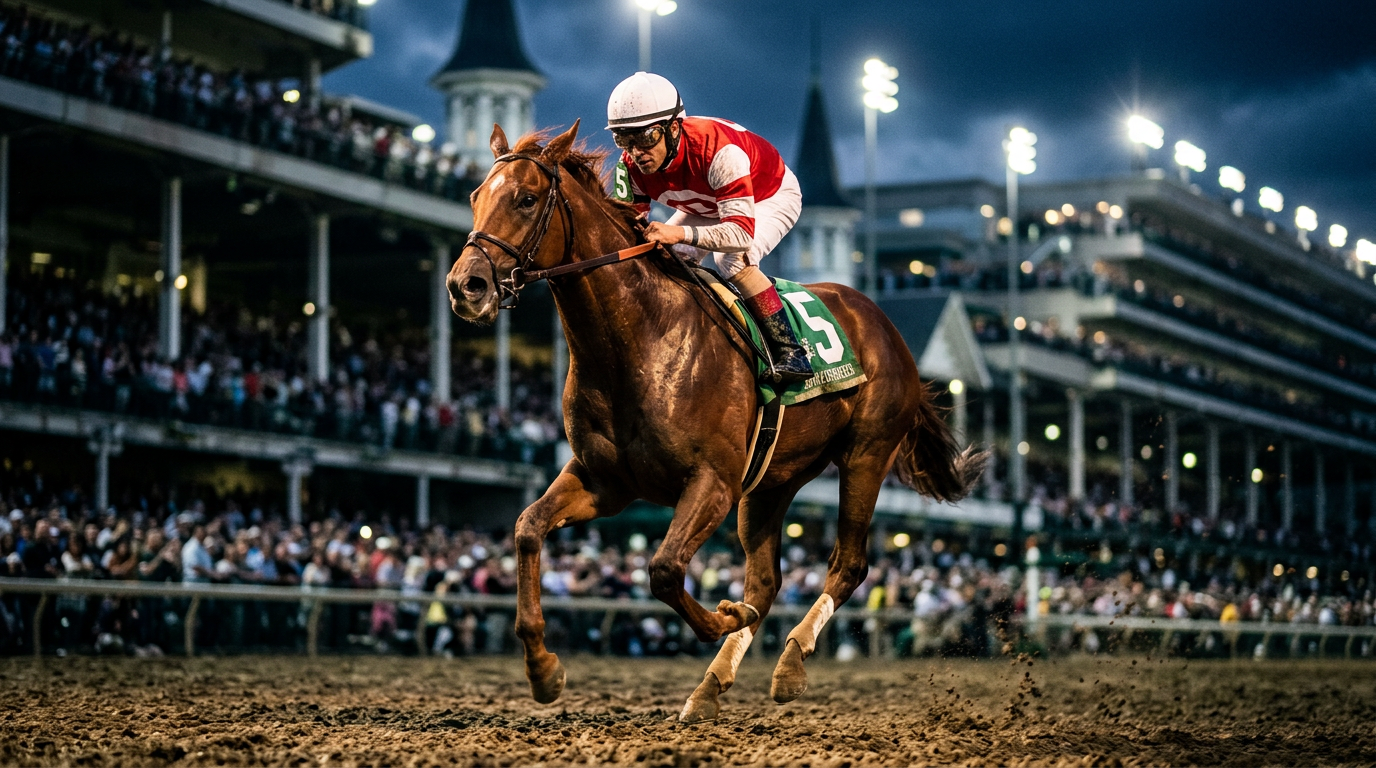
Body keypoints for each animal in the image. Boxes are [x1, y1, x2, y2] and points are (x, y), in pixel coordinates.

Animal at [447, 121, 986, 722]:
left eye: (526, 198)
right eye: (475, 196)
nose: (465, 286)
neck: (640, 341)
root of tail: (883, 324)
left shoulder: (713, 481)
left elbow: (662, 569)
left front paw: (726, 616)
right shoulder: (604, 481)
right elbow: (526, 528)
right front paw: (542, 669)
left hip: (865, 455)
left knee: (848, 564)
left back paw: (790, 663)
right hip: (772, 480)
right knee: (766, 580)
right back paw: (712, 684)